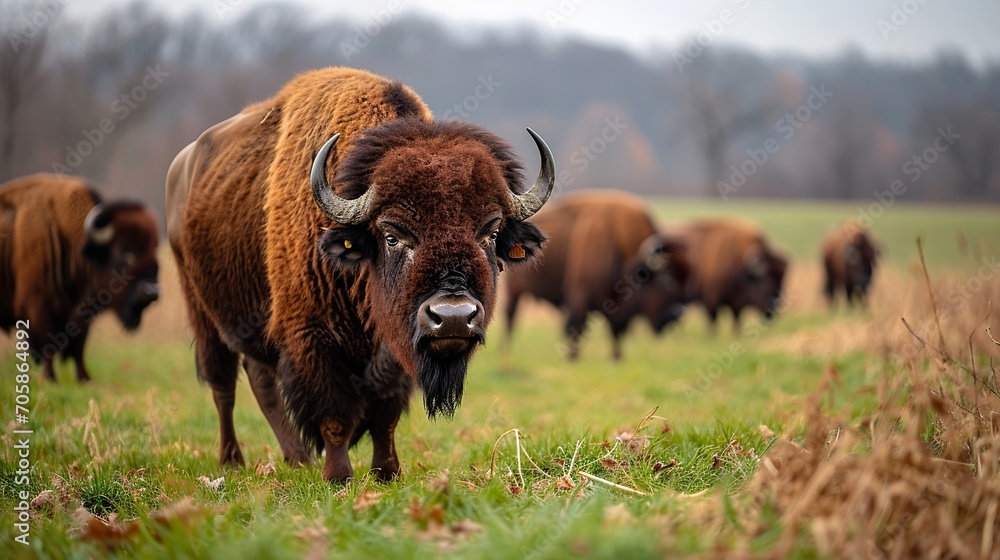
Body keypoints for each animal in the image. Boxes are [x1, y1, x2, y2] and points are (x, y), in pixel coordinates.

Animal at [0, 173, 160, 380]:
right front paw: (50, 379)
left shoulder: (83, 313)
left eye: (154, 248)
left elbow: (78, 346)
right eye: (122, 250)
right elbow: (47, 345)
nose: (151, 292)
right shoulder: (37, 306)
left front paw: (85, 378)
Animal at [166, 68, 556, 484]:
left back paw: (297, 459)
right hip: (203, 312)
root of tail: (182, 168)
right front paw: (338, 475)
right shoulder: (312, 337)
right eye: (391, 235)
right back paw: (232, 460)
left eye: (492, 232)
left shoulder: (395, 350)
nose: (453, 317)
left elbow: (385, 415)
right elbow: (335, 415)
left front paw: (387, 471)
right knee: (223, 385)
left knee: (261, 380)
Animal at [504, 190, 692, 360]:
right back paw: (506, 354)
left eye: (686, 282)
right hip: (514, 293)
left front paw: (617, 358)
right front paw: (572, 358)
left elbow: (616, 333)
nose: (677, 314)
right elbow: (576, 329)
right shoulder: (580, 298)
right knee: (510, 319)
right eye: (666, 281)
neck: (621, 247)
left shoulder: (617, 309)